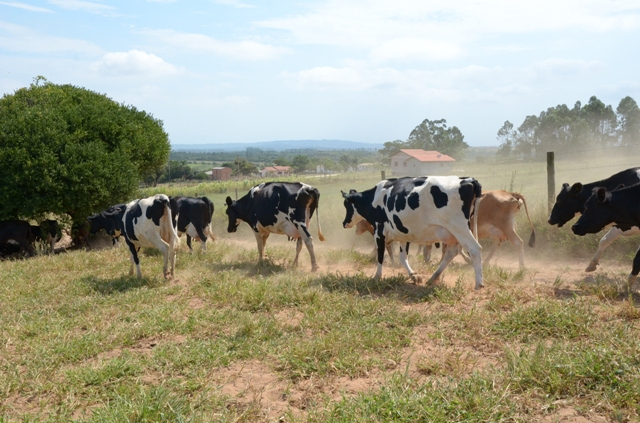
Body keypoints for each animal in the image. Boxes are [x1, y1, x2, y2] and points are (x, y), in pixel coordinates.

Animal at [342, 177, 482, 290]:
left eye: (346, 205)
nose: (344, 223)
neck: (374, 198)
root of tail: (468, 180)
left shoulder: (379, 232)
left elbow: (380, 255)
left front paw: (377, 277)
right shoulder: (403, 234)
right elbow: (403, 258)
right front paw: (415, 276)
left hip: (459, 228)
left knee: (474, 249)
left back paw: (479, 284)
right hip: (453, 233)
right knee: (451, 253)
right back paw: (433, 278)